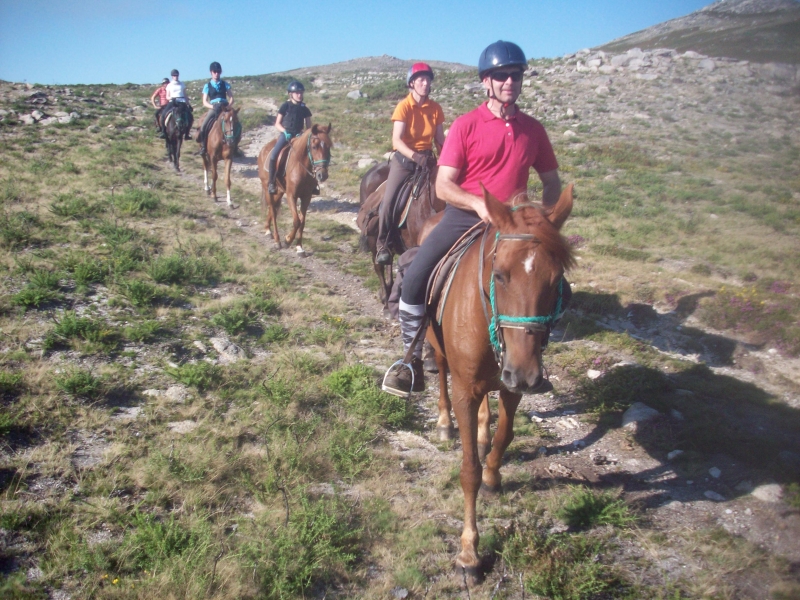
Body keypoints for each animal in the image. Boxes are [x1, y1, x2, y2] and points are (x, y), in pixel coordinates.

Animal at [256, 124, 332, 253]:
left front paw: (299, 247)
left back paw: (267, 229)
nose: (322, 175)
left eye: (329, 146)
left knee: (273, 208)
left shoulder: (307, 197)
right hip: (268, 188)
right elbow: (297, 221)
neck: (301, 167)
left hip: (280, 191)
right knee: (273, 210)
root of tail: (263, 150)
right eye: (314, 147)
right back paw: (277, 240)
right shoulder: (292, 195)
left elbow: (302, 221)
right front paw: (287, 240)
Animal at [428, 184, 572, 580]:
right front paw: (468, 552)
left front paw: (493, 474)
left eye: (556, 280)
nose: (526, 374)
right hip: (437, 347)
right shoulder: (465, 390)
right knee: (441, 371)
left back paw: (481, 431)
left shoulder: (511, 387)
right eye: (501, 274)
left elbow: (505, 435)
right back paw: (445, 422)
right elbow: (468, 471)